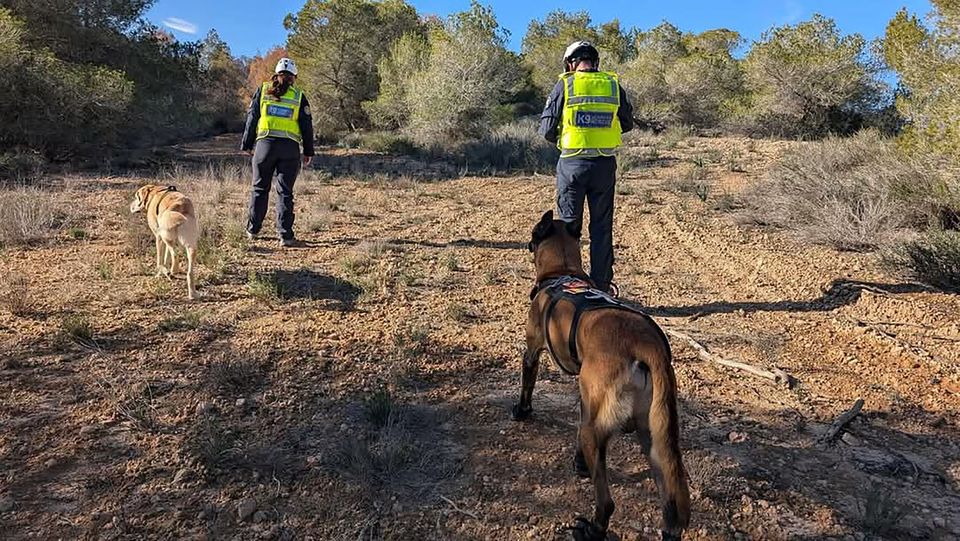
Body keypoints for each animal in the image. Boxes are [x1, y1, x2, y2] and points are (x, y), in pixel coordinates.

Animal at [512, 211, 688, 540]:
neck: (563, 271)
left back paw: (591, 529)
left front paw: (522, 411)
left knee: (606, 502)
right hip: (654, 437)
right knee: (672, 501)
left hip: (597, 433)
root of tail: (646, 344)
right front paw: (580, 463)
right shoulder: (587, 401)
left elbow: (527, 384)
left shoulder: (532, 351)